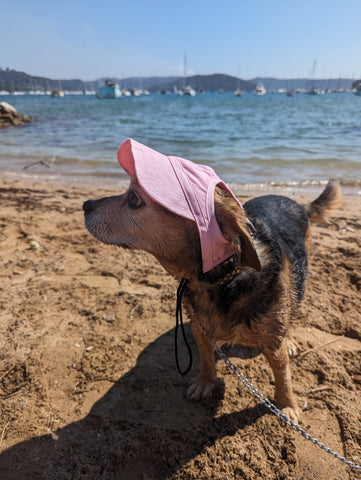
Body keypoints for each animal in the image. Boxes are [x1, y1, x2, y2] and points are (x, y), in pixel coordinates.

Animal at [83, 142, 340, 424]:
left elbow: (283, 376)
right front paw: (205, 382)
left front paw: (287, 405)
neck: (220, 278)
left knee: (293, 304)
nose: (85, 204)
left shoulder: (273, 345)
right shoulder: (200, 328)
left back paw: (290, 337)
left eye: (133, 199)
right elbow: (206, 359)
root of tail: (296, 203)